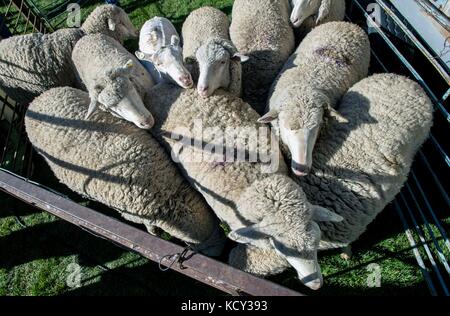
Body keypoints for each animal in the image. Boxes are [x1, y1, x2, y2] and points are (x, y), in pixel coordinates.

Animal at [23, 86, 224, 256]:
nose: (221, 251)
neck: (166, 192)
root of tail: (35, 101)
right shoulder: (134, 214)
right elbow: (148, 226)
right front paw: (154, 232)